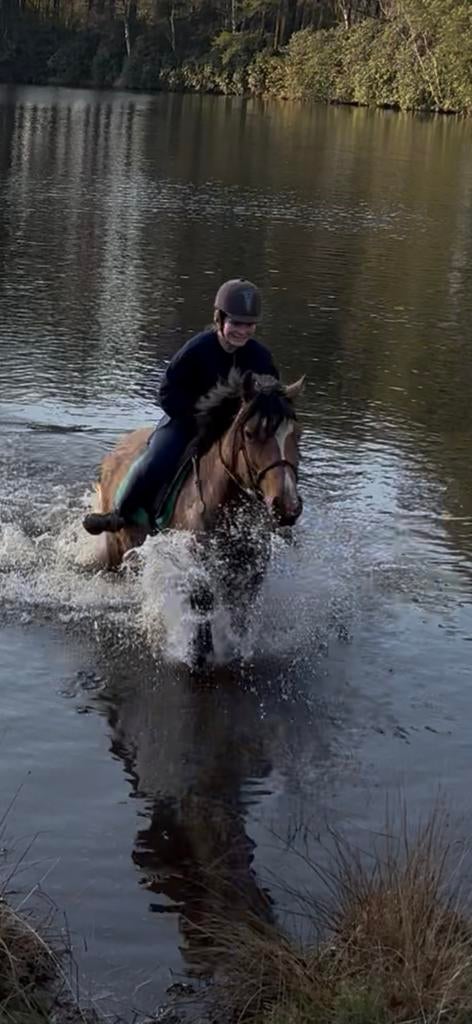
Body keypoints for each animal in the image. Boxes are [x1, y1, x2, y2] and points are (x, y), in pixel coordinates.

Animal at [89, 370, 304, 660]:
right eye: (249, 433)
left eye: (297, 435)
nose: (287, 506)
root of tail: (116, 450)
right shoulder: (194, 566)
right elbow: (202, 610)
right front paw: (197, 655)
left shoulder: (249, 575)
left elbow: (239, 619)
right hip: (117, 549)